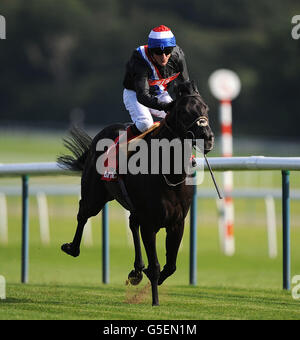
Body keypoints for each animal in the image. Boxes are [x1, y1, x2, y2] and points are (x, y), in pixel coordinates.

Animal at [57, 81, 214, 306]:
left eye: (206, 108)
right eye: (184, 112)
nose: (208, 138)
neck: (169, 172)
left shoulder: (177, 222)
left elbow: (170, 266)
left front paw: (144, 275)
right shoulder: (150, 223)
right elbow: (156, 266)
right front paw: (154, 300)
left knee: (132, 222)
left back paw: (137, 270)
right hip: (94, 196)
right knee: (83, 213)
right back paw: (72, 247)